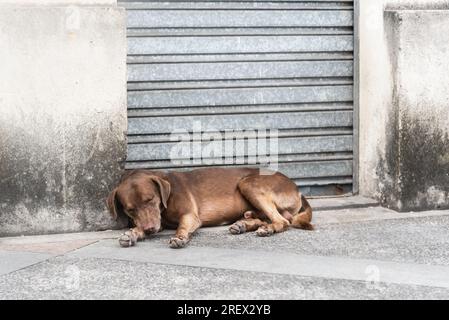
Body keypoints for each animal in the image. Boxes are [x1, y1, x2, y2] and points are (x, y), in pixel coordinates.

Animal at [107, 169, 314, 249]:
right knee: (269, 217)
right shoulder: (156, 221)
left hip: (248, 182)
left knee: (282, 220)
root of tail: (296, 188)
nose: (150, 229)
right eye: (130, 210)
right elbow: (141, 227)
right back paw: (244, 224)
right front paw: (133, 233)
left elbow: (182, 226)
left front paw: (179, 237)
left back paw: (267, 228)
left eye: (151, 199)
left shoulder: (190, 215)